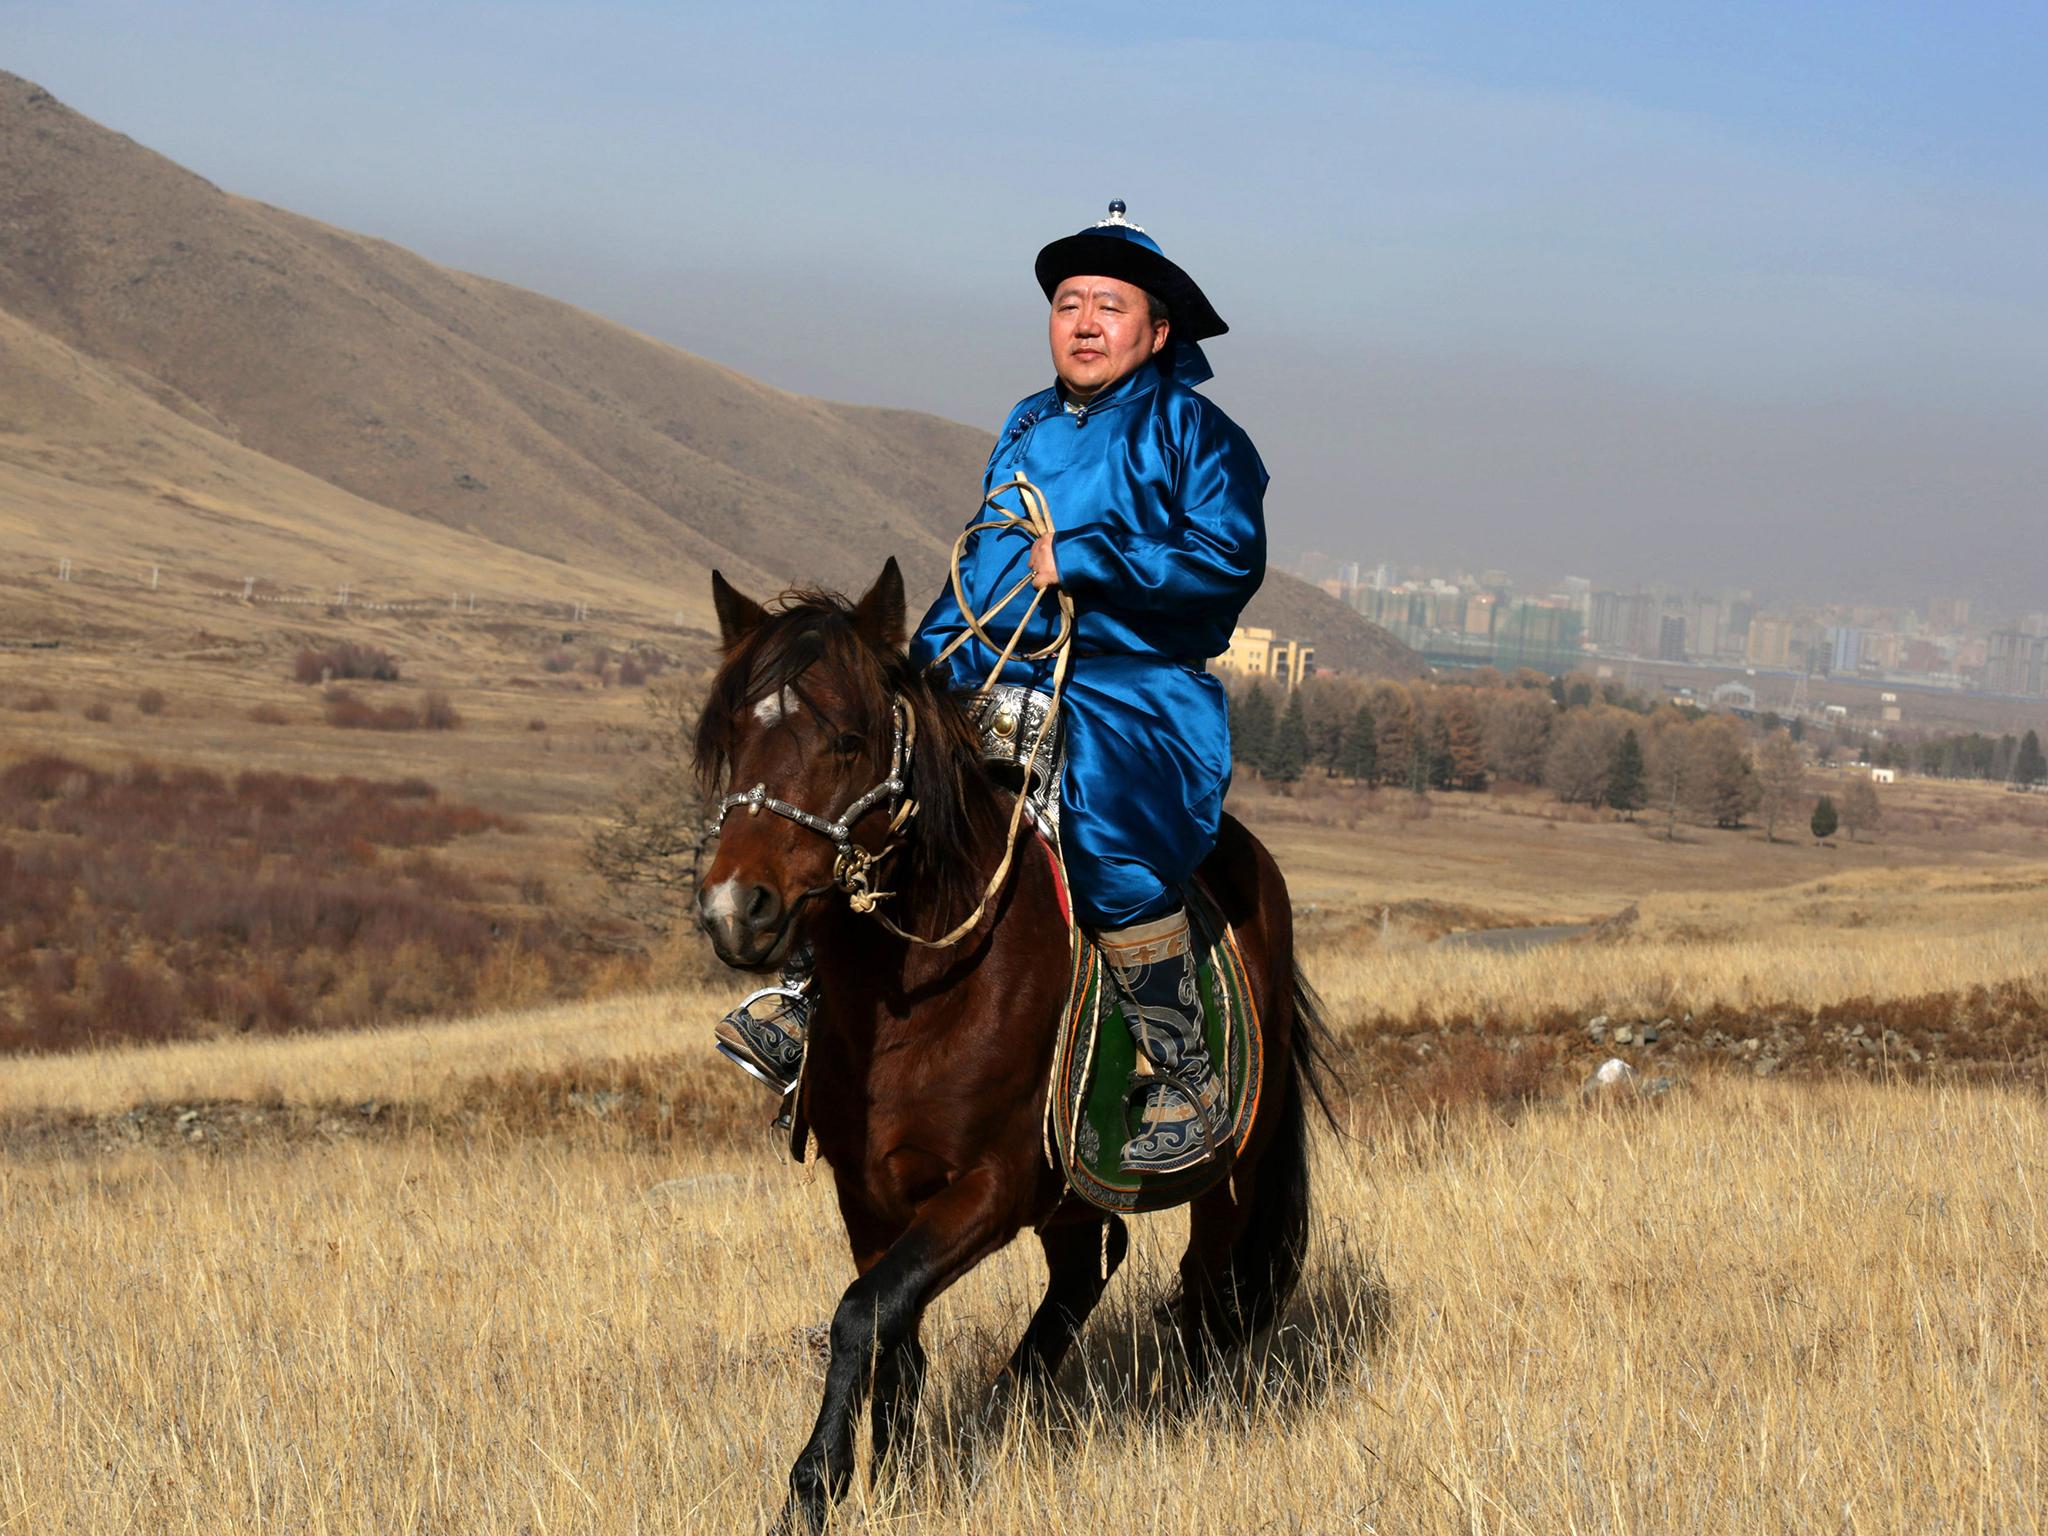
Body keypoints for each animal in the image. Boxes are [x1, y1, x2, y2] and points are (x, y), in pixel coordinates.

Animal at [692, 561, 1327, 1531]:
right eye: (731, 738)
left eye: (847, 739)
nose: (738, 910)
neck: (921, 1001)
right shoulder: (867, 1193)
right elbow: (893, 1327)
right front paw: (895, 1473)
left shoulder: (991, 1189)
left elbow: (860, 1314)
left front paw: (814, 1485)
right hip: (1073, 1191)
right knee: (1090, 1264)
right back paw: (1011, 1399)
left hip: (1230, 1172)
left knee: (1205, 1286)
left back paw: (1194, 1407)